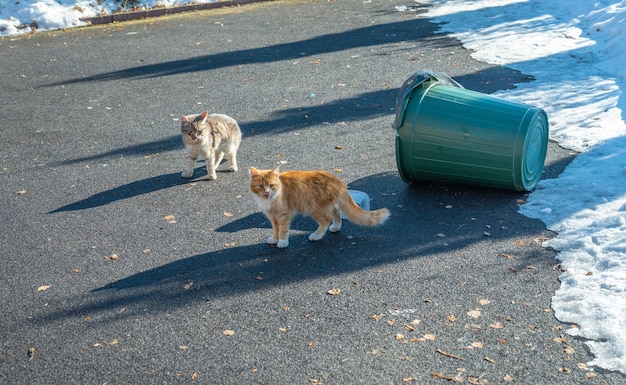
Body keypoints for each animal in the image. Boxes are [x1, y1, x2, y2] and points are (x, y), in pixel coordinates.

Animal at [247, 167, 386, 246]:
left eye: (271, 186)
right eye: (261, 186)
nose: (267, 193)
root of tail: (338, 181)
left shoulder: (283, 215)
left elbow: (283, 230)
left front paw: (282, 242)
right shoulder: (273, 217)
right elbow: (276, 230)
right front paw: (275, 239)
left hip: (314, 207)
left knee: (326, 220)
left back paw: (316, 236)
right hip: (326, 205)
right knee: (336, 214)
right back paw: (335, 227)